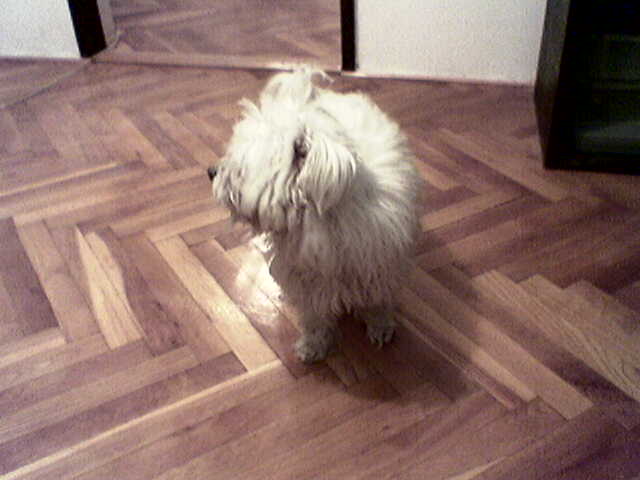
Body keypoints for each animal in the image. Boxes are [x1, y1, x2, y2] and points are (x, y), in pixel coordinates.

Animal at [208, 68, 421, 363]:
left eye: (240, 170)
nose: (211, 172)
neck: (319, 219)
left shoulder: (379, 266)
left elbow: (378, 301)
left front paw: (380, 326)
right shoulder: (306, 280)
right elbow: (314, 316)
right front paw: (313, 344)